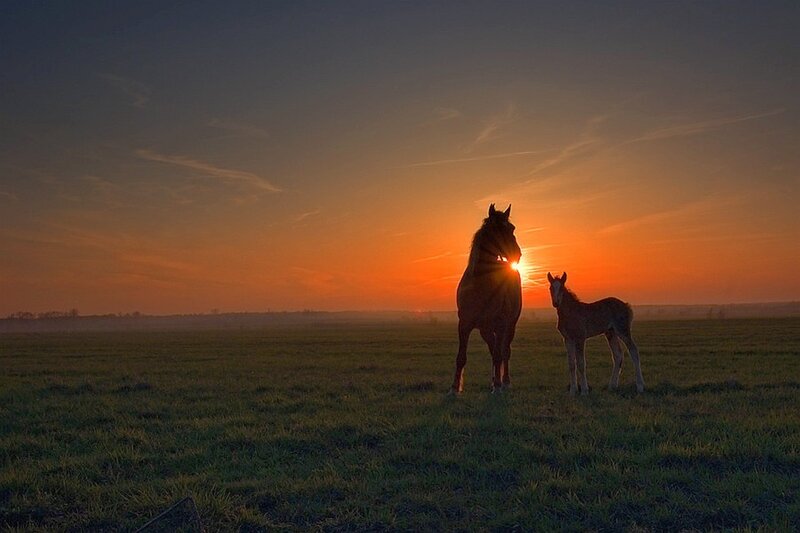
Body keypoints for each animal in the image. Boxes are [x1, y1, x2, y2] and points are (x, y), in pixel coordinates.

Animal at [450, 204, 522, 394]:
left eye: (512, 228)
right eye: (497, 229)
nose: (517, 255)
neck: (481, 285)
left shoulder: (501, 323)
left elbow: (499, 354)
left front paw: (498, 386)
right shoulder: (464, 324)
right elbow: (461, 356)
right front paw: (454, 387)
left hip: (509, 326)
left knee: (504, 351)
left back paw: (504, 381)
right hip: (486, 330)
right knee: (493, 349)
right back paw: (493, 380)